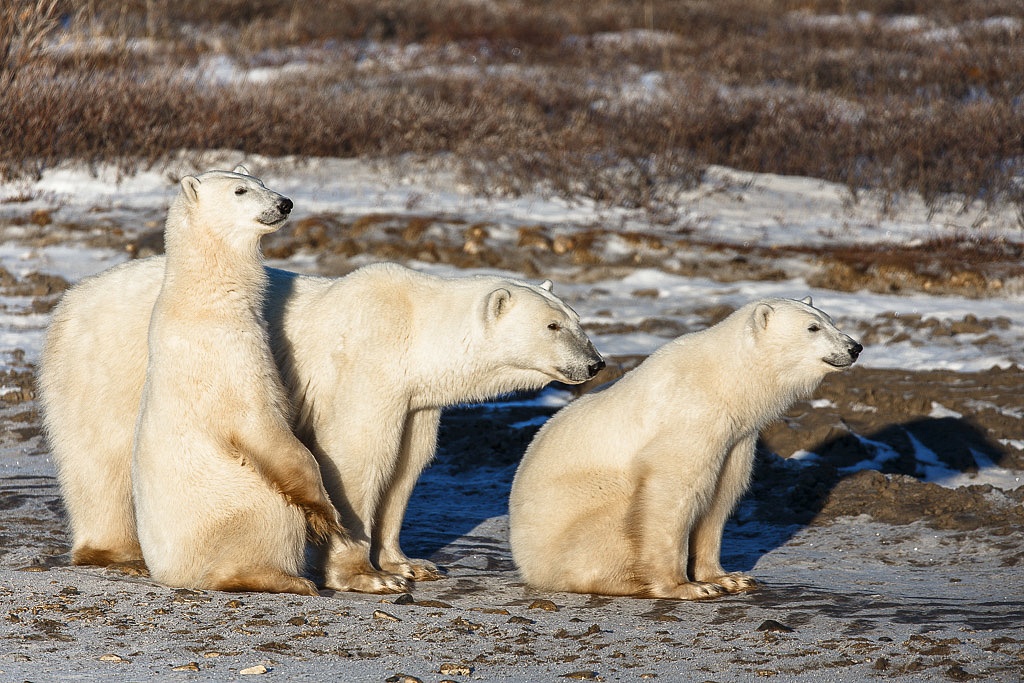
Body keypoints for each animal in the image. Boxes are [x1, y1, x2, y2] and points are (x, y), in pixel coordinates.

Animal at [36, 250, 602, 593]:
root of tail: (71, 298)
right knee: (101, 459)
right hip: (107, 366)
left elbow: (406, 466)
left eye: (577, 320)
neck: (413, 329)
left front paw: (409, 563)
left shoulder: (414, 400)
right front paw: (366, 577)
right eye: (553, 326)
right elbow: (356, 460)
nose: (595, 363)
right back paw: (119, 553)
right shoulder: (367, 367)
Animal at [131, 167, 339, 593]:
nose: (285, 203)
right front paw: (326, 516)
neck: (204, 301)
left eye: (261, 181)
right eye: (240, 190)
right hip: (232, 508)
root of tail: (172, 574)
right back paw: (287, 579)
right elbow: (265, 429)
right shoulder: (229, 358)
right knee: (264, 519)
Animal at [507, 296, 860, 602]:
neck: (726, 381)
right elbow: (673, 495)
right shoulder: (690, 419)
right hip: (584, 509)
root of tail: (527, 565)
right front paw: (686, 586)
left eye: (831, 320)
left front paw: (728, 578)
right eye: (813, 327)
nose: (854, 347)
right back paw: (630, 581)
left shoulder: (736, 439)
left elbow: (719, 497)